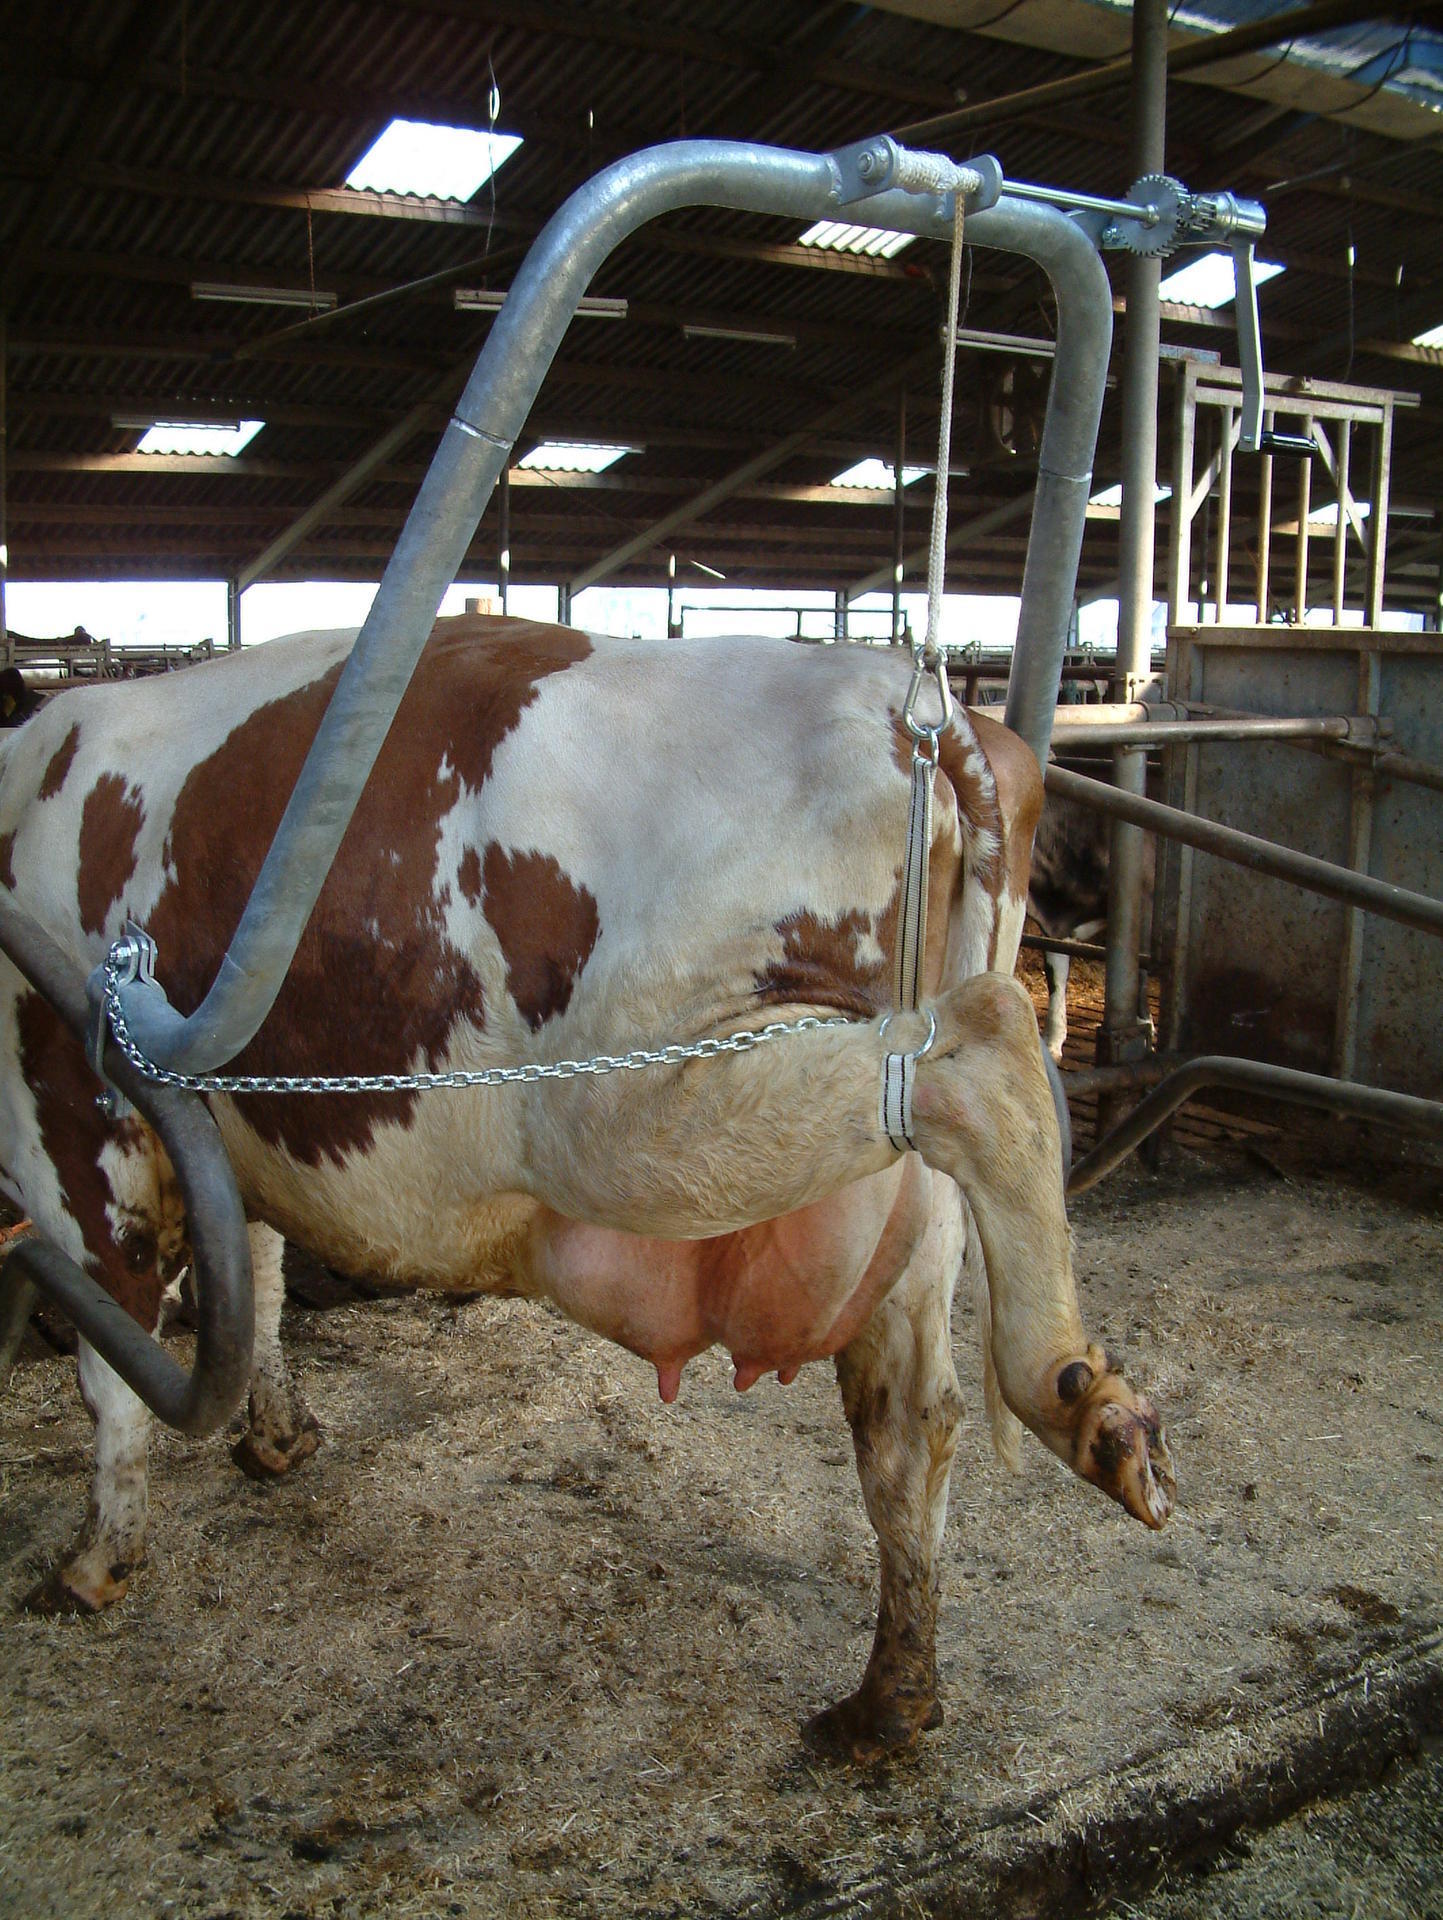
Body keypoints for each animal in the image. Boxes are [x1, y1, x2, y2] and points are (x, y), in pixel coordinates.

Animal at [0, 614, 1173, 1762]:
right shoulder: (230, 1133)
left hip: (629, 1111)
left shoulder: (71, 1112)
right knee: (911, 1426)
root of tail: (911, 697)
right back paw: (889, 1700)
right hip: (888, 1201)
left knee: (987, 1064)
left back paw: (1073, 1393)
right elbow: (264, 1273)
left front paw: (93, 1561)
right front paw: (278, 1437)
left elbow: (111, 1353)